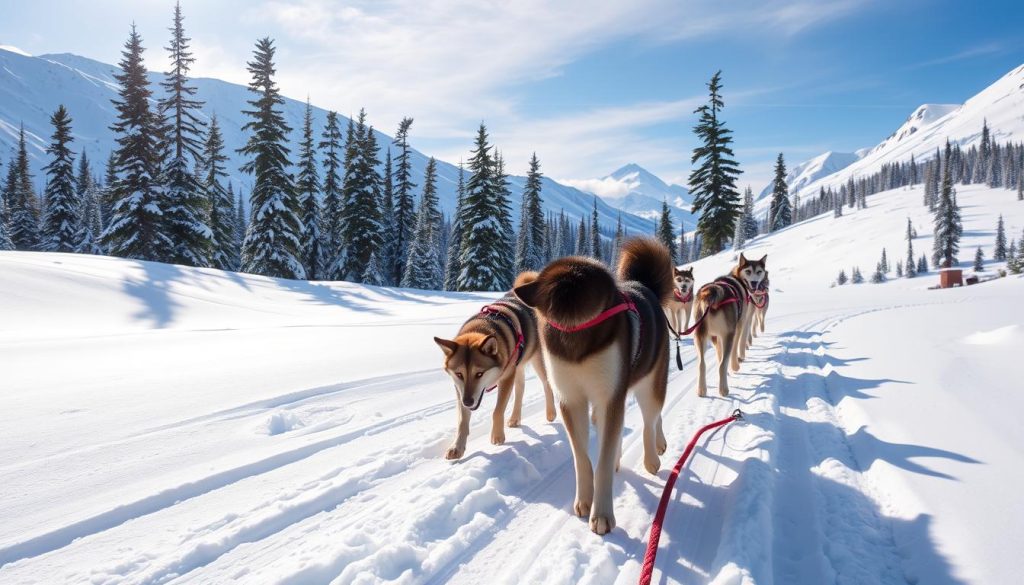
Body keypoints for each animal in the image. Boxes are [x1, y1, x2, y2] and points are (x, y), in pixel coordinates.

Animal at [434, 274, 557, 463]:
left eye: (479, 373)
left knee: (547, 384)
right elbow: (462, 421)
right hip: (518, 366)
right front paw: (457, 447)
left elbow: (497, 411)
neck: (482, 327)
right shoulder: (459, 389)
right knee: (520, 389)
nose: (467, 401)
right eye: (459, 374)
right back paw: (514, 418)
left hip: (537, 360)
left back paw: (551, 413)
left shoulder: (506, 378)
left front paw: (497, 436)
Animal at [512, 236, 671, 536]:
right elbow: (582, 459)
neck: (577, 332)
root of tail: (644, 287)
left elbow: (603, 464)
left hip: (648, 385)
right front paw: (585, 500)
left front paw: (602, 514)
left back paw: (653, 454)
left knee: (651, 419)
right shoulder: (571, 399)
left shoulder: (610, 397)